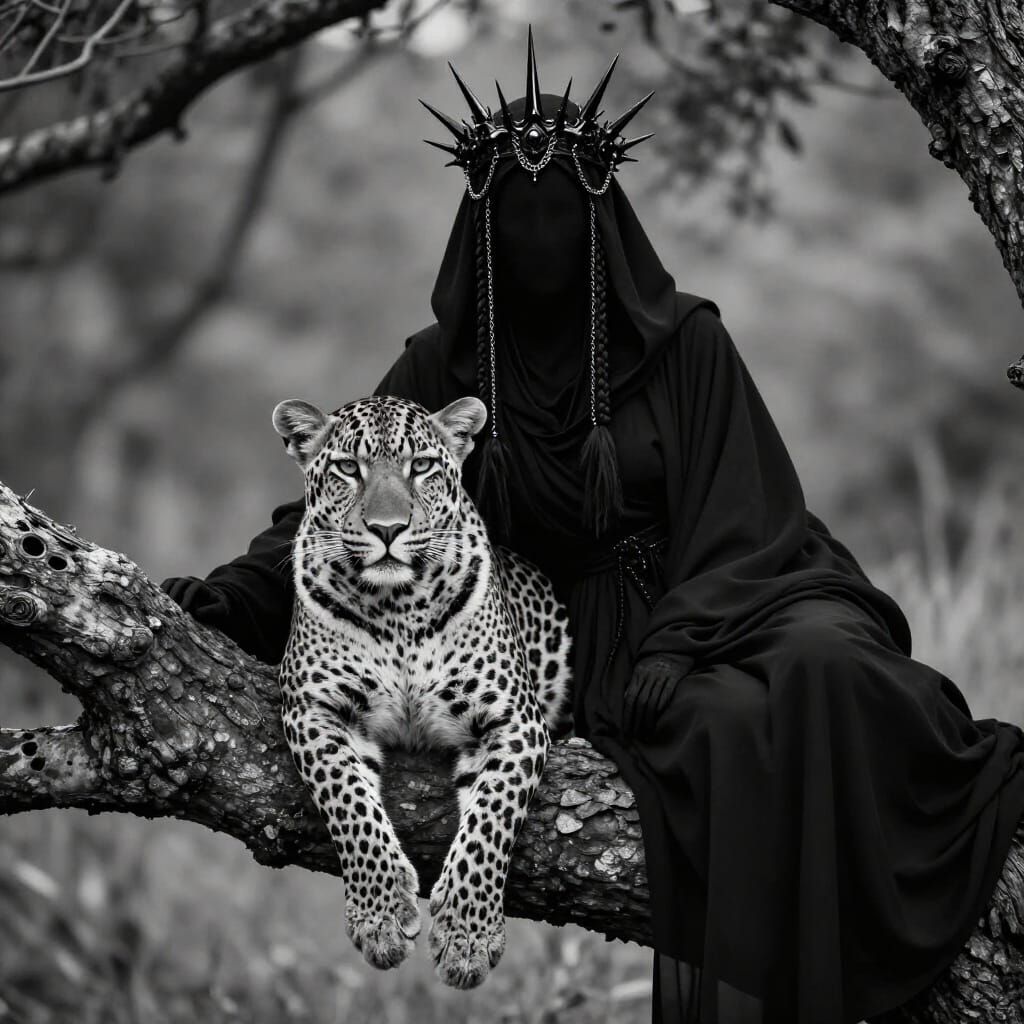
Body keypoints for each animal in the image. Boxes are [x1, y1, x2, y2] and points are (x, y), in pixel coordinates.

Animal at [271, 392, 573, 990]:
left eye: (423, 466)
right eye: (348, 468)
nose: (388, 528)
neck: (398, 609)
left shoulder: (515, 719)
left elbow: (491, 818)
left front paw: (468, 935)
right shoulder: (312, 707)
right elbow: (347, 801)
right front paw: (381, 914)